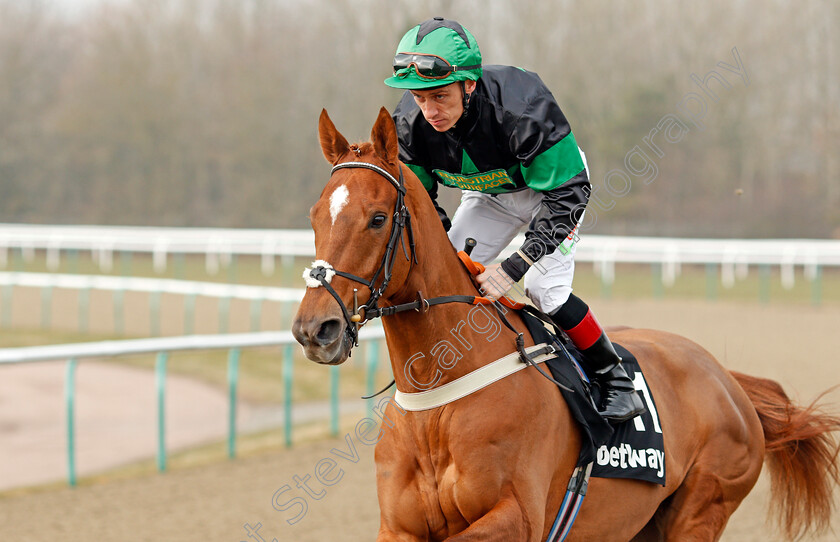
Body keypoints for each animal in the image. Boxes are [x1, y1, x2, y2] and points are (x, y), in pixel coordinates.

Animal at [290, 108, 840, 540]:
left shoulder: (517, 518)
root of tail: (729, 379)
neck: (440, 396)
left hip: (702, 509)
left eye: (378, 218)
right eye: (315, 215)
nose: (315, 330)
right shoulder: (398, 526)